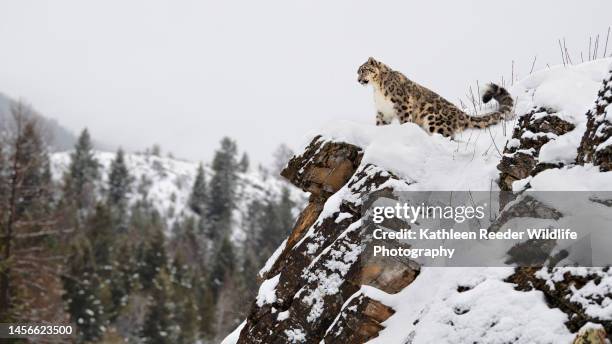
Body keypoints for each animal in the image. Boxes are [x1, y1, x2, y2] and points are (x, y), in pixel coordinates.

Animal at [356, 57, 512, 136]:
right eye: (358, 71)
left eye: (364, 70)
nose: (358, 80)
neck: (377, 88)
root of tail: (462, 114)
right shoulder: (382, 111)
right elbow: (380, 125)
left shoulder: (402, 105)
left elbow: (405, 121)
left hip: (433, 120)